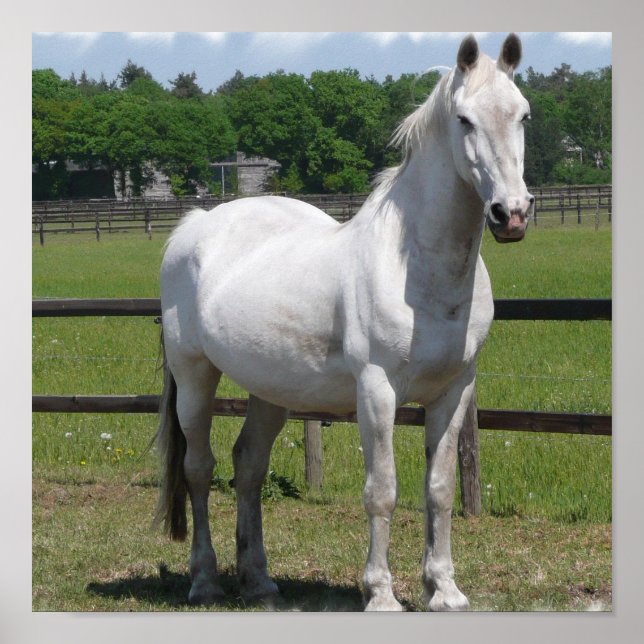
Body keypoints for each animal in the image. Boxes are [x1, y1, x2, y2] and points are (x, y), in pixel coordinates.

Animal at [154, 33, 533, 611]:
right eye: (465, 120)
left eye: (523, 115)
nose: (510, 213)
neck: (416, 267)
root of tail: (195, 225)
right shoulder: (375, 391)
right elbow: (382, 492)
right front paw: (380, 593)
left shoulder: (454, 390)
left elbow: (440, 490)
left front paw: (444, 589)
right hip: (195, 376)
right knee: (200, 469)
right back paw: (205, 580)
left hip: (272, 388)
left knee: (248, 465)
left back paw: (259, 581)